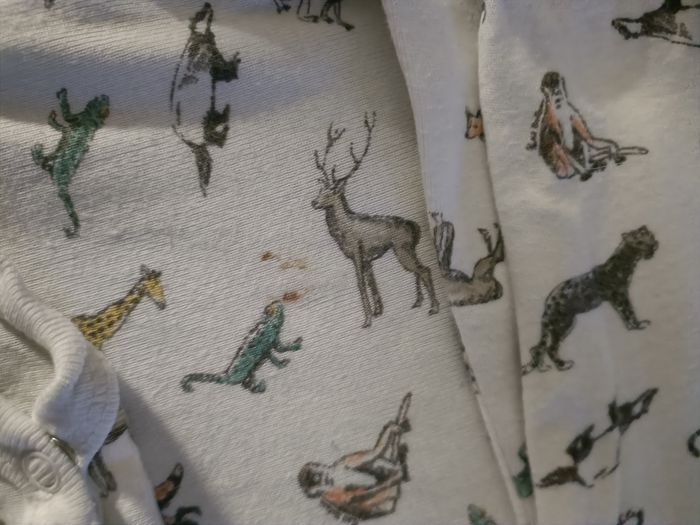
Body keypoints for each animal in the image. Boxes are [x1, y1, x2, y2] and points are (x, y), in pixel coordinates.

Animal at [311, 112, 439, 328]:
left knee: (425, 269)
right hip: (408, 248)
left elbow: (360, 283)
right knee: (419, 269)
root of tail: (415, 227)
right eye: (320, 190)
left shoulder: (356, 251)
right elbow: (372, 282)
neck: (343, 233)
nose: (313, 202)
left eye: (331, 193)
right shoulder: (367, 258)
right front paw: (378, 312)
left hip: (401, 247)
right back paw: (418, 302)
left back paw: (434, 308)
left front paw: (367, 320)